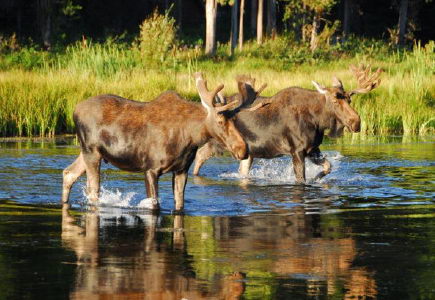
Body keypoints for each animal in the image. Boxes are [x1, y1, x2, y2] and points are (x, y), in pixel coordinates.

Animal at [61, 72, 264, 211]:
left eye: (235, 120)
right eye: (220, 121)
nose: (243, 149)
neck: (190, 137)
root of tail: (74, 111)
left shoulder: (181, 170)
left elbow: (179, 205)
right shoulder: (150, 169)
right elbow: (154, 205)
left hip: (86, 152)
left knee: (68, 173)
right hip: (91, 152)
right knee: (92, 190)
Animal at [194, 65, 382, 183]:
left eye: (350, 99)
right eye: (335, 101)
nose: (356, 122)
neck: (318, 121)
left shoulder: (313, 149)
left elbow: (328, 166)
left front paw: (317, 177)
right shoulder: (297, 150)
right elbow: (301, 179)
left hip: (247, 153)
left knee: (241, 170)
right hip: (219, 142)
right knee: (200, 155)